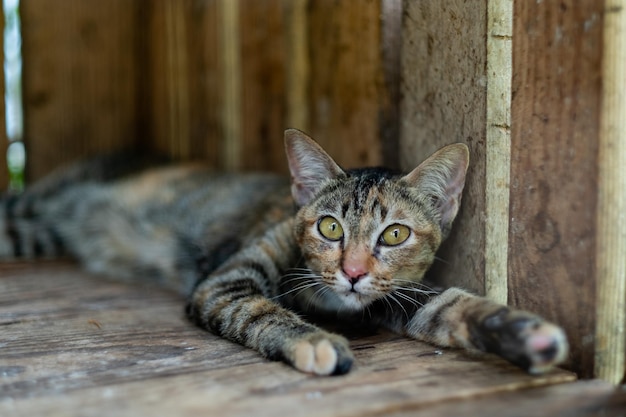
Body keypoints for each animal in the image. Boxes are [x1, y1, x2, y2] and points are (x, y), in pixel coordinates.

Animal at [0, 129, 564, 374]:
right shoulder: (227, 281)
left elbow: (451, 306)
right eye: (330, 227)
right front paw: (313, 341)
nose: (353, 272)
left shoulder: (399, 297)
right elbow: (259, 310)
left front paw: (521, 333)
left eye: (394, 235)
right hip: (31, 210)